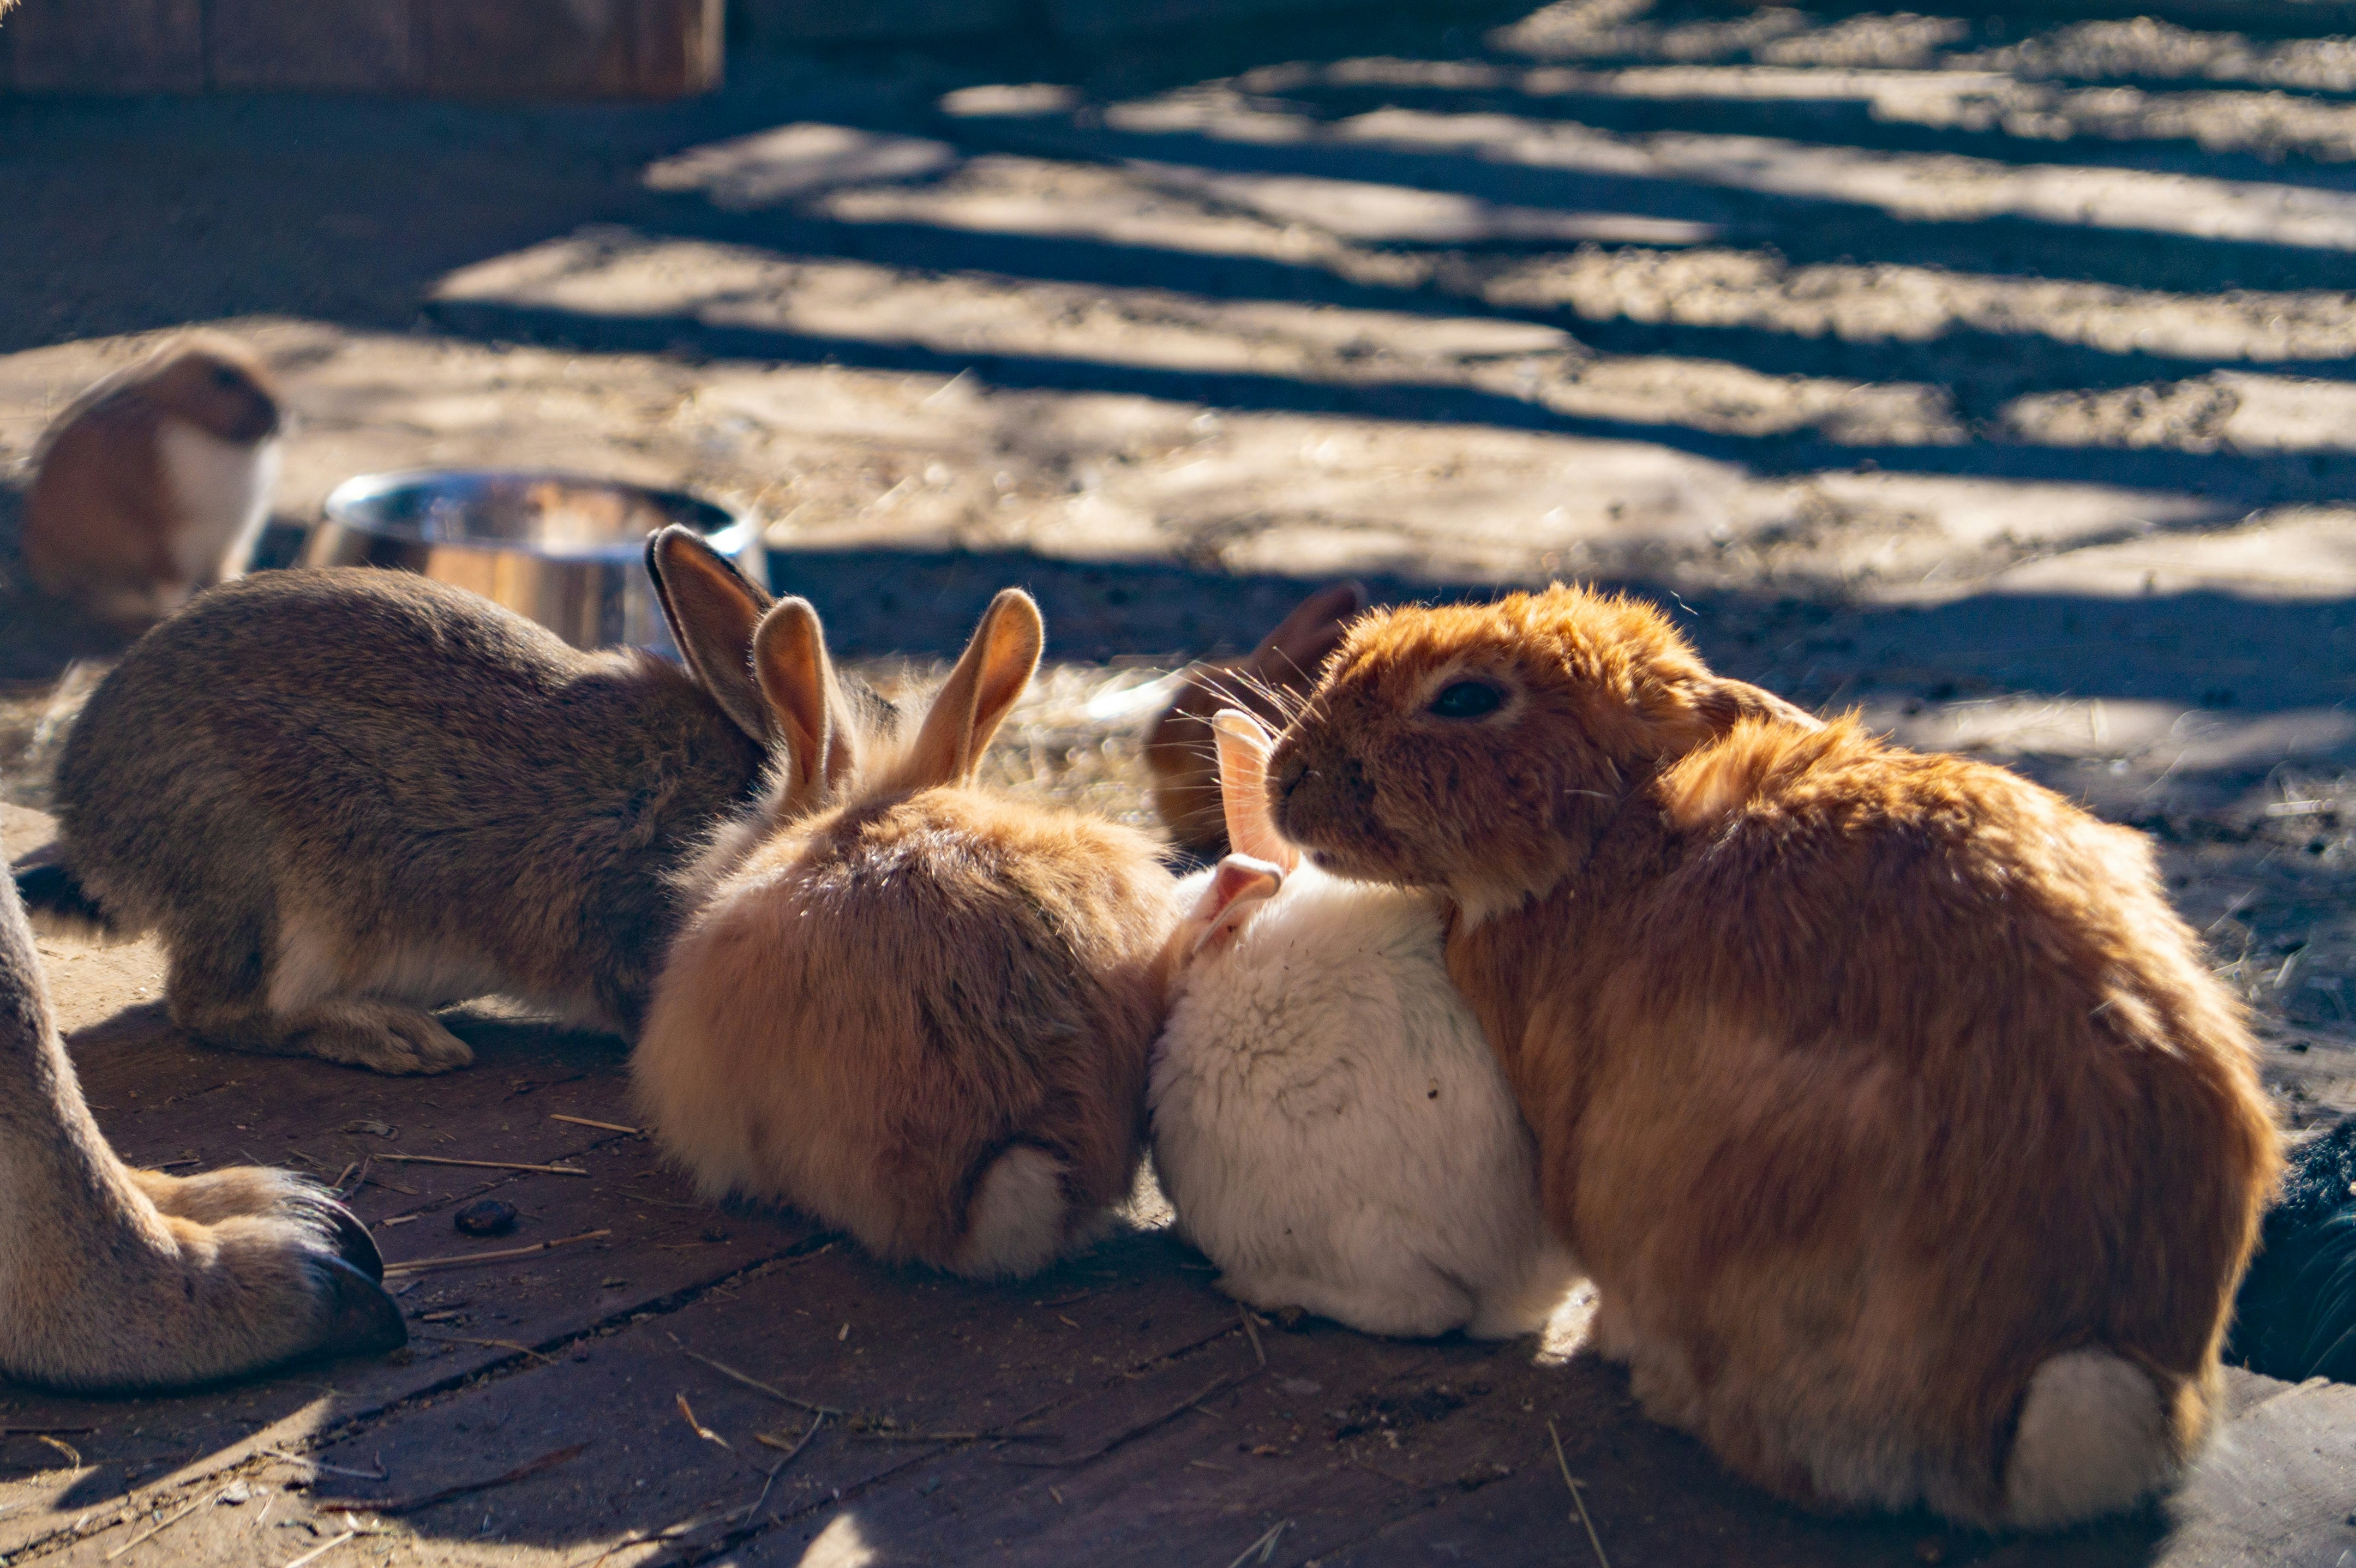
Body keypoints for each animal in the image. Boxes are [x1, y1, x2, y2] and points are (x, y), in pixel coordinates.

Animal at [22, 331, 285, 630]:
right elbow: (172, 588)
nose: (280, 416)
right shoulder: (170, 547)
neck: (198, 428)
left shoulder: (232, 541)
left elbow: (225, 575)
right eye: (223, 377)